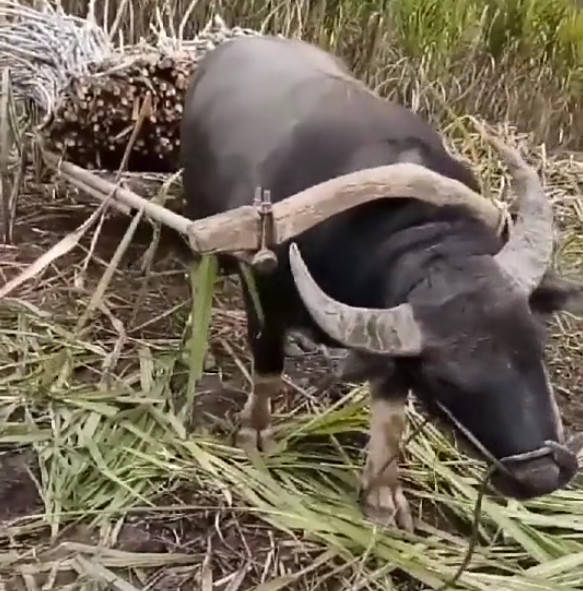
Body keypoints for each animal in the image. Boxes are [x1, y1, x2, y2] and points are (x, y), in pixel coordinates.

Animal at [179, 33, 583, 532]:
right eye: (445, 380)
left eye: (536, 346)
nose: (541, 475)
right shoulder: (263, 297)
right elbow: (267, 370)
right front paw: (254, 432)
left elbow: (391, 418)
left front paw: (382, 496)